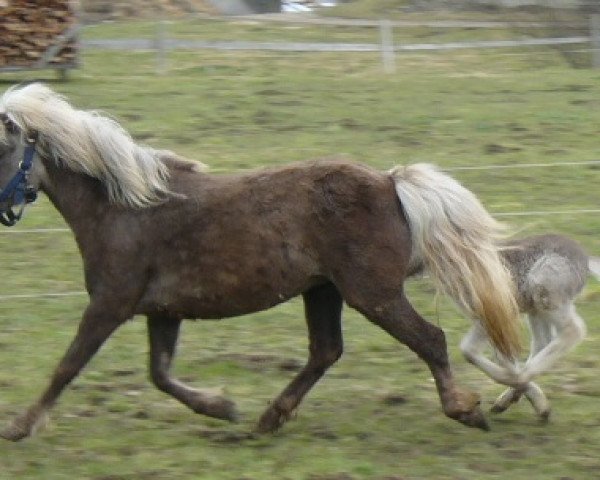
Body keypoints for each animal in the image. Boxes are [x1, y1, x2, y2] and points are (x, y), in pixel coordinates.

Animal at [0, 82, 520, 438]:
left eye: (2, 147)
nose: (3, 211)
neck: (123, 206)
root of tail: (390, 182)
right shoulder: (162, 312)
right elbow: (160, 375)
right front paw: (221, 408)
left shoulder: (109, 304)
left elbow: (68, 366)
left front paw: (21, 426)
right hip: (323, 291)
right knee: (325, 351)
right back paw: (270, 417)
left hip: (372, 294)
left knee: (428, 339)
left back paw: (465, 410)